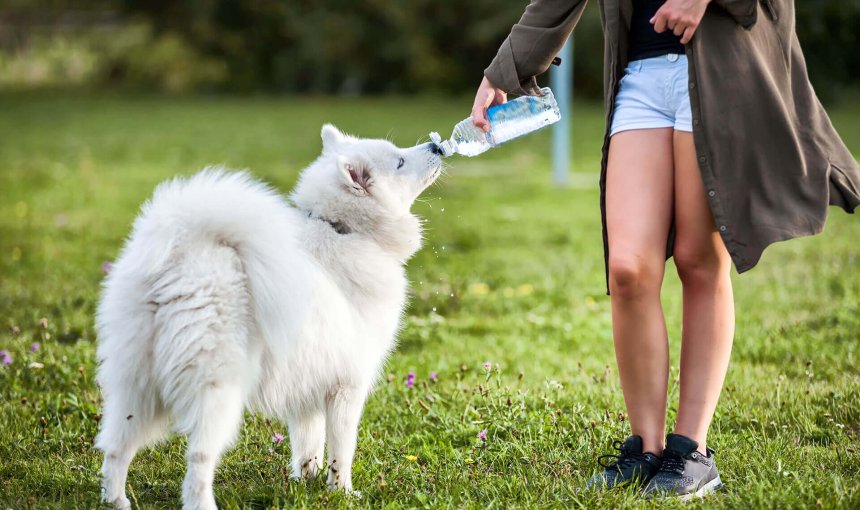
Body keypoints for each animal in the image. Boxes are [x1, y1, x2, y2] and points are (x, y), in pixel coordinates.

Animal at [95, 124, 444, 510]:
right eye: (399, 161)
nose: (437, 146)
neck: (342, 229)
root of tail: (184, 256)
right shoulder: (346, 387)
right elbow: (342, 449)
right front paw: (342, 492)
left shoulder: (309, 383)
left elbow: (308, 442)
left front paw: (305, 482)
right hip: (216, 391)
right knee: (198, 459)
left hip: (136, 387)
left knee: (115, 448)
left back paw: (115, 501)